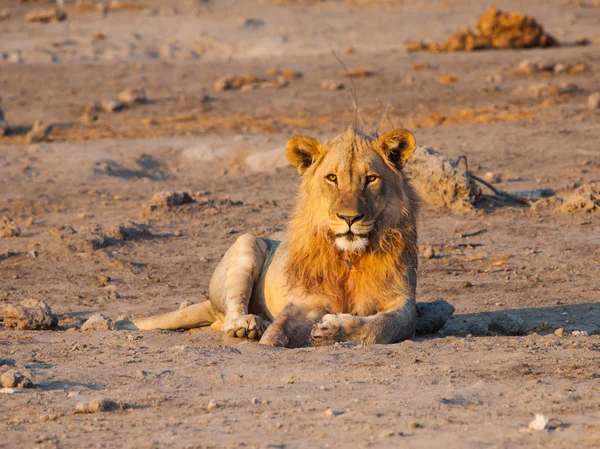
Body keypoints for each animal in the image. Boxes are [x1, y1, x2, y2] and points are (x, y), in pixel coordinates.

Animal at [115, 126, 454, 346]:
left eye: (370, 179)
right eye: (332, 178)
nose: (349, 218)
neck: (349, 257)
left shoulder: (401, 300)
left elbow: (383, 326)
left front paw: (332, 329)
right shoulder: (305, 299)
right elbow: (279, 328)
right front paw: (270, 336)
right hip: (247, 243)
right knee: (230, 314)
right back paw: (248, 325)